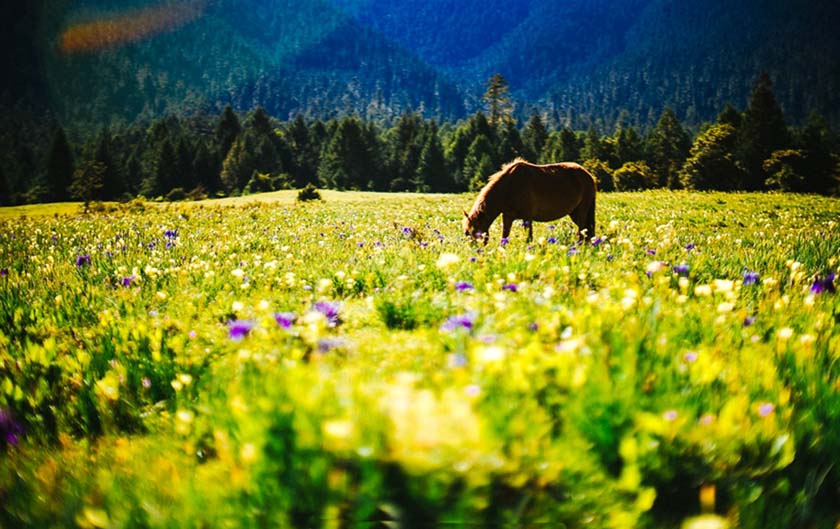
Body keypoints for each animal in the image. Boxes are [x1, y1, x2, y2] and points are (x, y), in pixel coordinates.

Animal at [460, 159, 596, 243]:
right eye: (466, 233)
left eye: (475, 233)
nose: (476, 252)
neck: (509, 187)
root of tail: (588, 175)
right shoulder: (508, 217)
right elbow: (504, 237)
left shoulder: (527, 218)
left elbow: (528, 238)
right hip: (574, 213)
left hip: (582, 211)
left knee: (582, 231)